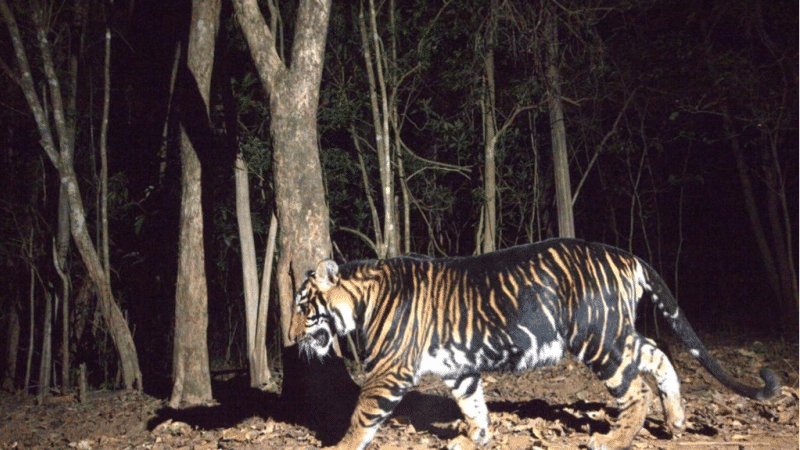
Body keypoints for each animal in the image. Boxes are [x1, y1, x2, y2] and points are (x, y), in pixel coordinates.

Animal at [290, 237, 780, 448]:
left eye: (302, 305)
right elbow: (473, 404)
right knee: (659, 357)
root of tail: (627, 255)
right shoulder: (459, 368)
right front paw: (475, 438)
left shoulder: (389, 371)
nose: (290, 338)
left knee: (635, 389)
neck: (362, 300)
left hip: (598, 340)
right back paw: (675, 420)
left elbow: (361, 417)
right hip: (616, 334)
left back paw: (612, 440)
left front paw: (340, 448)